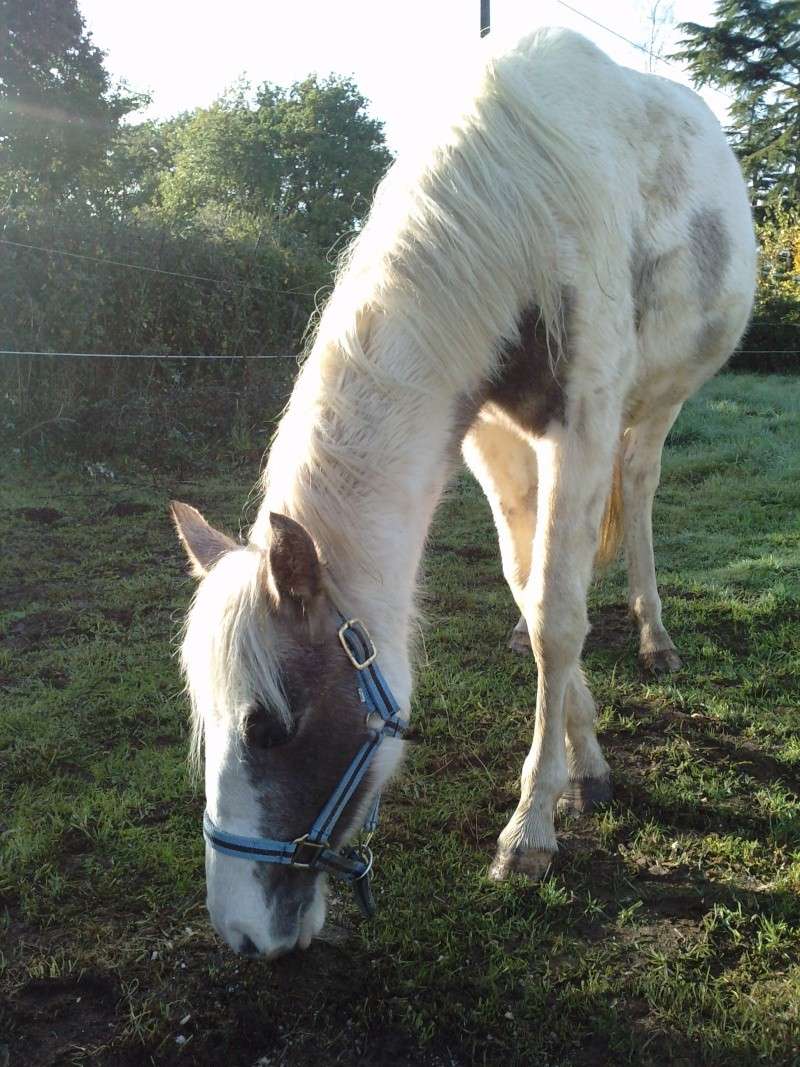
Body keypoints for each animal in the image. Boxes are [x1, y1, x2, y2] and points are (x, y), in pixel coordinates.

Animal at [170, 27, 759, 960]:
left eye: (267, 725)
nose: (242, 934)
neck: (515, 210)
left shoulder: (585, 419)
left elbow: (559, 614)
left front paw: (531, 829)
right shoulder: (486, 433)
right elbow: (531, 593)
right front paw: (586, 763)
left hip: (657, 404)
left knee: (639, 490)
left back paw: (655, 635)